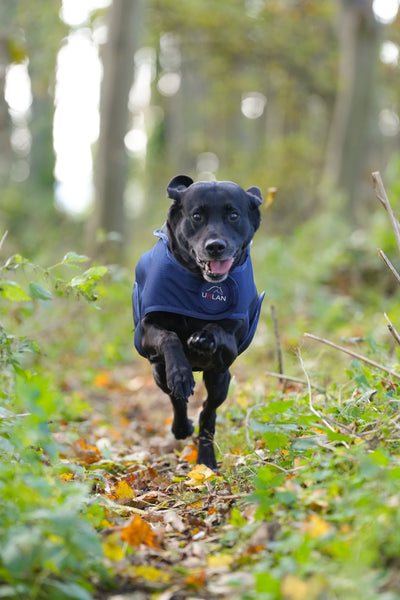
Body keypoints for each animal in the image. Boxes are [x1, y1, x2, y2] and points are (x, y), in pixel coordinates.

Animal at [134, 173, 264, 468]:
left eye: (233, 215)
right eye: (196, 216)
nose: (215, 247)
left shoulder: (229, 348)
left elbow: (217, 328)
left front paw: (203, 337)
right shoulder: (148, 331)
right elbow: (169, 337)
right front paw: (181, 374)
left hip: (220, 379)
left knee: (208, 412)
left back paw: (206, 459)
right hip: (158, 372)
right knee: (177, 401)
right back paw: (182, 424)